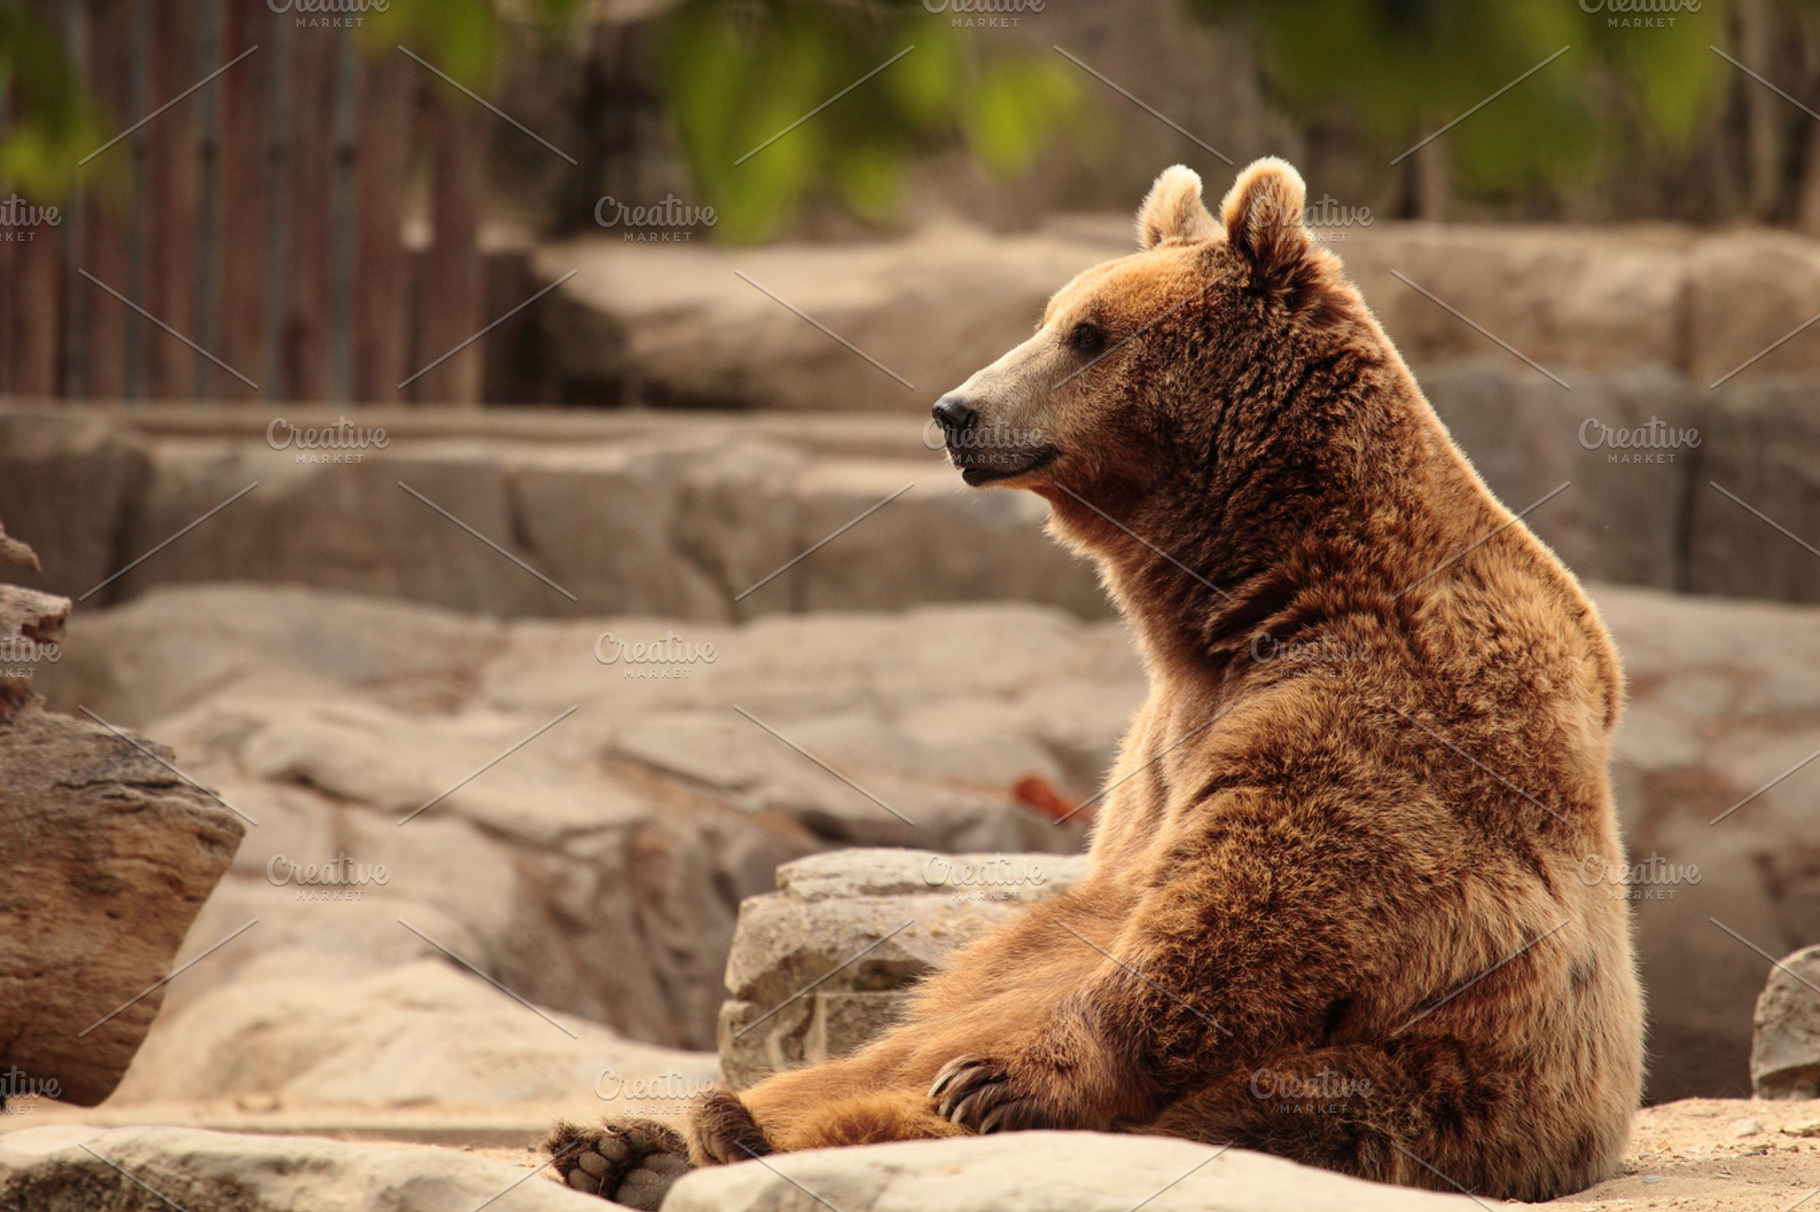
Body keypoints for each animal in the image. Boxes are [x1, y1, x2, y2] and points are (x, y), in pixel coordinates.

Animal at [546, 158, 1644, 1206]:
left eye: (1087, 334)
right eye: (1052, 316)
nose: (956, 411)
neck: (1250, 590)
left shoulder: (1373, 709)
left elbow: (1248, 910)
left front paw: (1000, 1084)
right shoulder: (1159, 745)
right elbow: (1075, 922)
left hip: (1428, 1087)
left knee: (1262, 1106)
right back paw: (639, 1141)